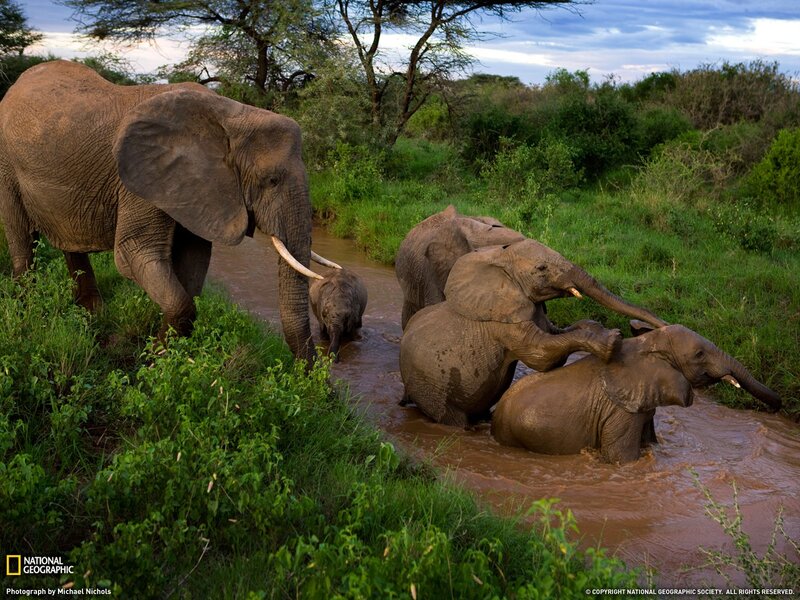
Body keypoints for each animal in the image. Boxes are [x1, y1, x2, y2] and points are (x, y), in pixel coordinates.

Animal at [0, 60, 339, 362]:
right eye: (271, 181)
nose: (313, 375)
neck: (232, 115)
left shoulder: (195, 189)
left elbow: (193, 263)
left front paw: (163, 355)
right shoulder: (143, 181)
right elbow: (135, 254)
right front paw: (153, 359)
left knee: (70, 243)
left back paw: (92, 315)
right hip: (6, 162)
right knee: (22, 239)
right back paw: (27, 313)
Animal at [399, 239, 670, 427]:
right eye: (541, 268)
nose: (664, 325)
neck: (500, 258)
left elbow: (558, 332)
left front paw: (597, 328)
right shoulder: (503, 321)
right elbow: (541, 355)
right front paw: (612, 341)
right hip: (432, 388)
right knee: (451, 418)